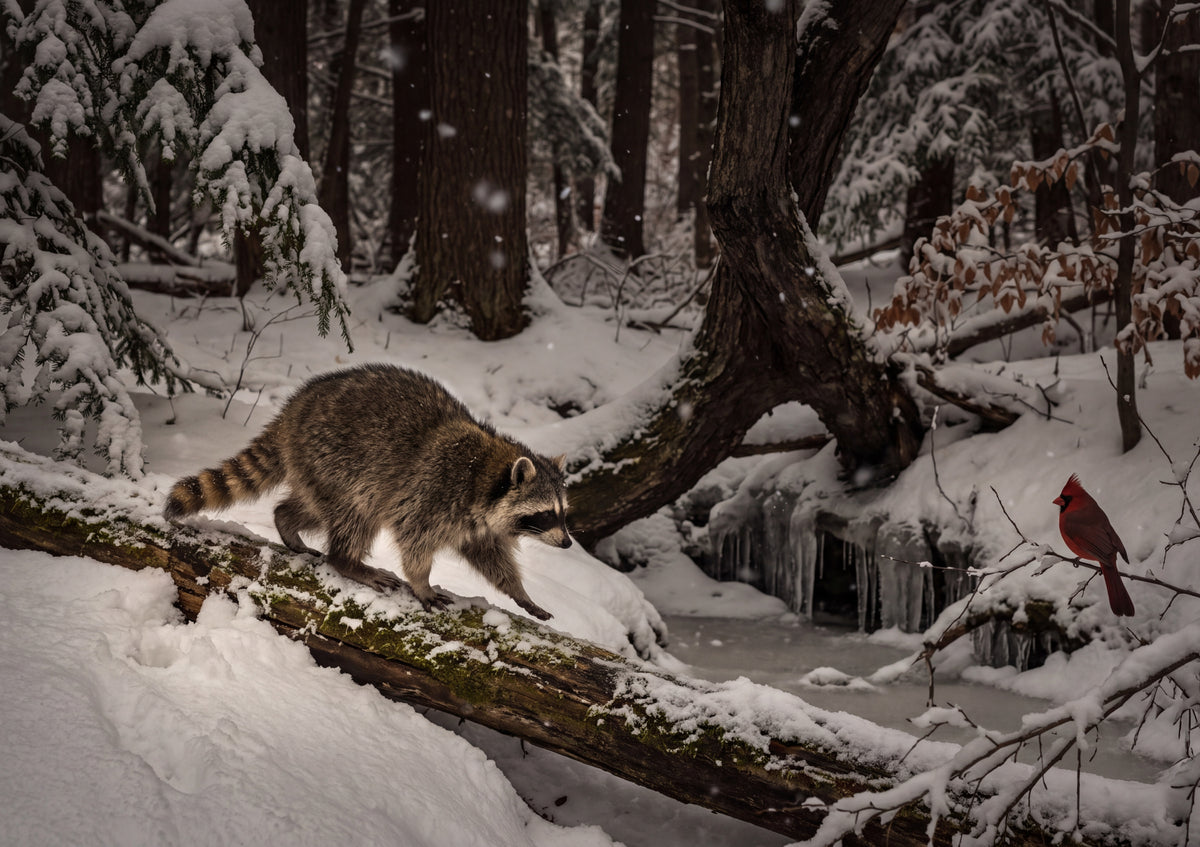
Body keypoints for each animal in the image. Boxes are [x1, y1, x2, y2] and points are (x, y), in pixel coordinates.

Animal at [164, 364, 571, 620]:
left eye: (563, 512)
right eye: (545, 513)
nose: (567, 543)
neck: (486, 474)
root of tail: (294, 409)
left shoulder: (478, 524)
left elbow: (491, 558)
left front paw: (519, 592)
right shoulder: (433, 492)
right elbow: (414, 541)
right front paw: (421, 582)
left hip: (318, 469)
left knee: (314, 508)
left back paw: (287, 522)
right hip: (335, 459)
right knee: (356, 513)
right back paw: (347, 561)